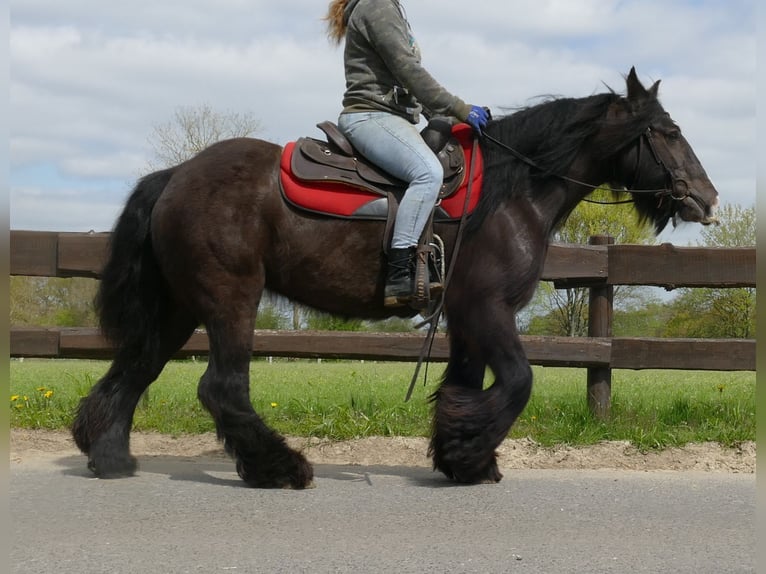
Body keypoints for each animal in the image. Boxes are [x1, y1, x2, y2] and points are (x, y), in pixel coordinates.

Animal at [70, 68, 720, 490]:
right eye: (665, 131)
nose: (707, 198)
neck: (512, 190)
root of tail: (176, 175)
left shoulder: (464, 314)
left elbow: (465, 382)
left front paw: (461, 456)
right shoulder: (487, 307)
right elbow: (518, 382)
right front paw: (469, 450)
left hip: (178, 308)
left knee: (135, 369)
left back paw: (109, 456)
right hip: (230, 299)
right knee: (221, 387)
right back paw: (280, 469)